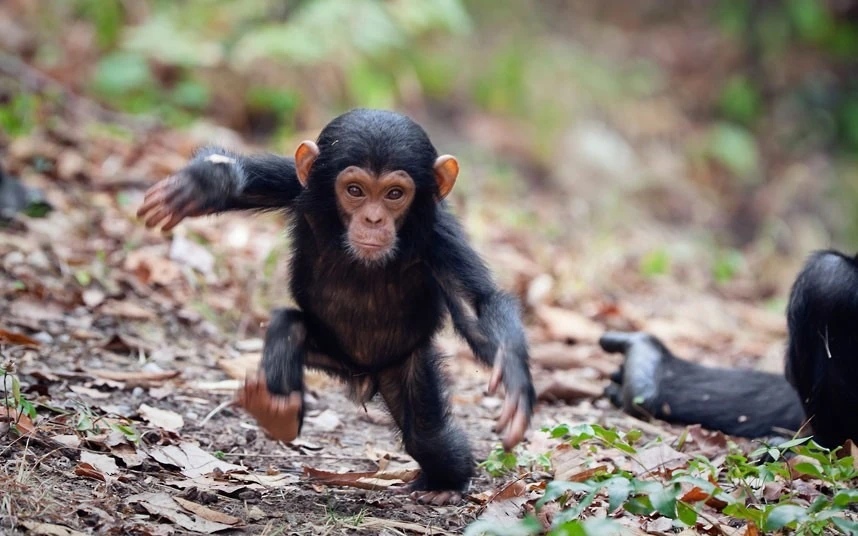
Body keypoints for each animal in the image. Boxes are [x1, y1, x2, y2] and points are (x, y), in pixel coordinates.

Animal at [136, 108, 532, 502]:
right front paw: (204, 184)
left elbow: (478, 303)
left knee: (428, 437)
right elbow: (251, 182)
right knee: (290, 326)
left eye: (394, 194)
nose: (373, 219)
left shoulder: (440, 237)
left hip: (403, 364)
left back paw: (444, 485)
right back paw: (277, 410)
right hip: (328, 354)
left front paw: (514, 378)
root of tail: (361, 375)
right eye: (355, 190)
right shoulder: (304, 187)